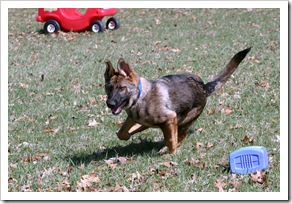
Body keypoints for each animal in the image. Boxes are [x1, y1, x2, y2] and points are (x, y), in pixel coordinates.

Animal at [104, 47, 251, 153]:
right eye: (109, 88)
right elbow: (121, 133)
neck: (140, 96)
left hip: (184, 120)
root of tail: (203, 87)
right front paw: (128, 135)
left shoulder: (170, 118)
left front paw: (170, 154)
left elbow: (171, 140)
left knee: (181, 136)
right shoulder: (133, 118)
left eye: (122, 88)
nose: (109, 104)